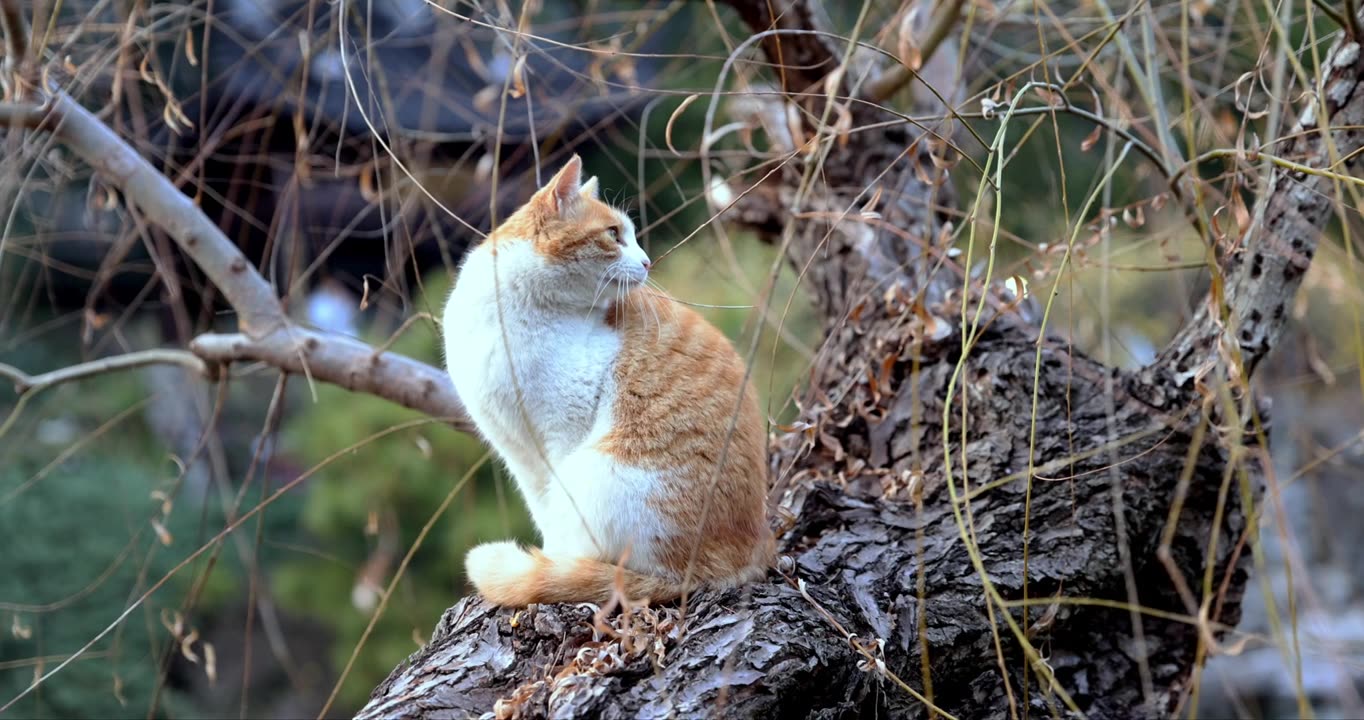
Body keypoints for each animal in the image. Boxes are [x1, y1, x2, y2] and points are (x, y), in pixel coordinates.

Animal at [441, 156, 774, 608]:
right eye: (614, 234)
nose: (648, 262)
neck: (508, 311)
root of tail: (725, 566)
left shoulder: (562, 433)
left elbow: (555, 520)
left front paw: (551, 562)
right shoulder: (516, 450)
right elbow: (541, 506)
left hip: (597, 473)